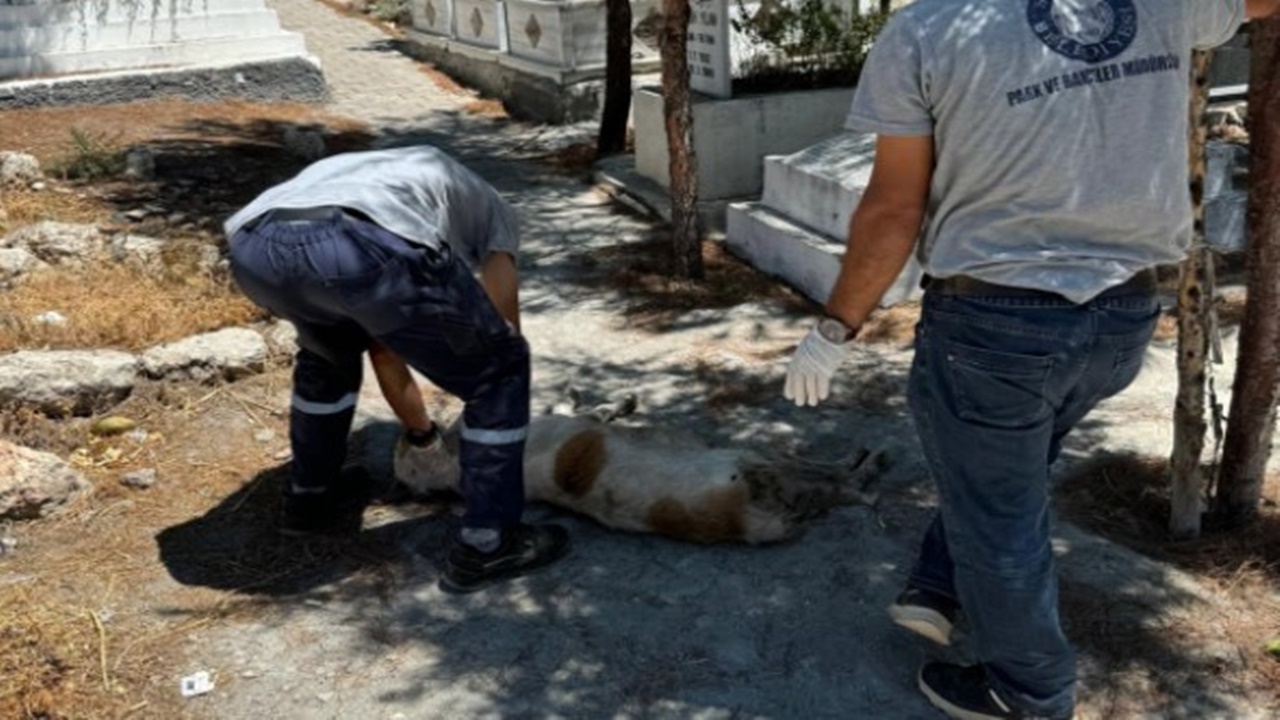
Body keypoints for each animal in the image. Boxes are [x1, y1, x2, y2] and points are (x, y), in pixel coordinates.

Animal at [394, 389, 885, 540]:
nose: (414, 430)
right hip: (760, 458)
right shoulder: (573, 423)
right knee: (833, 478)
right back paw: (867, 467)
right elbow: (593, 410)